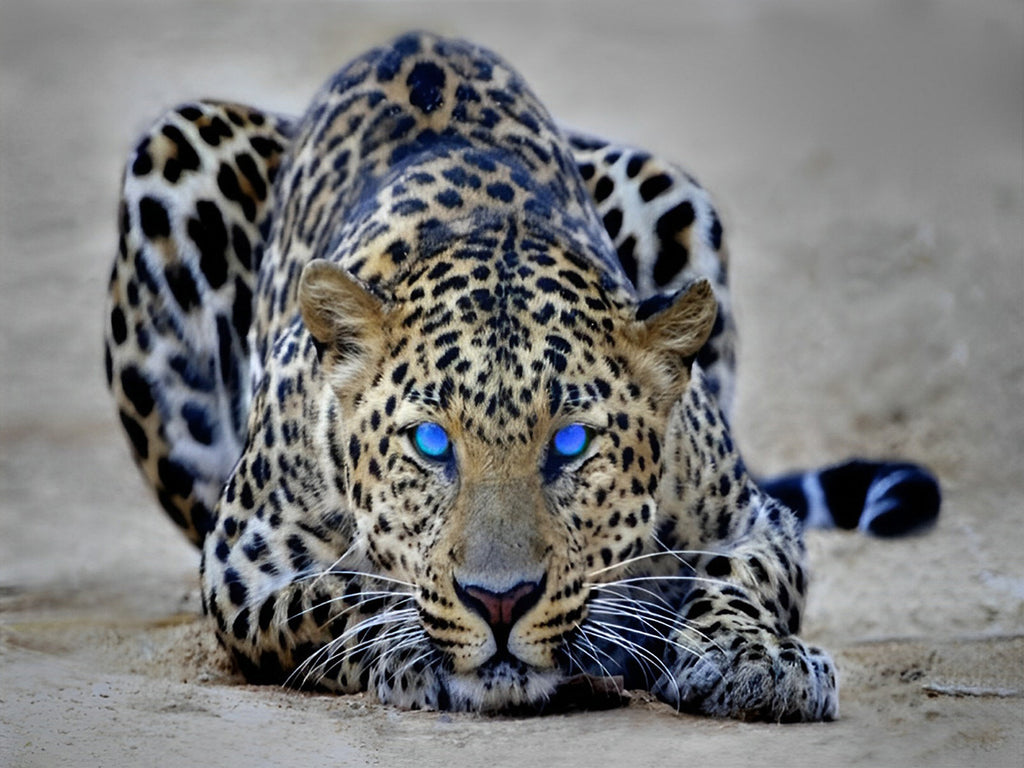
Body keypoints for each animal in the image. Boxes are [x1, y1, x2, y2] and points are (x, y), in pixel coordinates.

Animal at [103, 33, 937, 724]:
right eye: (431, 443)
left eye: (570, 444)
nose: (499, 605)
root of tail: (415, 36)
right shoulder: (242, 567)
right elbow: (341, 592)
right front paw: (408, 643)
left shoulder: (753, 519)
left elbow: (741, 577)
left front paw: (758, 659)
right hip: (176, 155)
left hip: (667, 185)